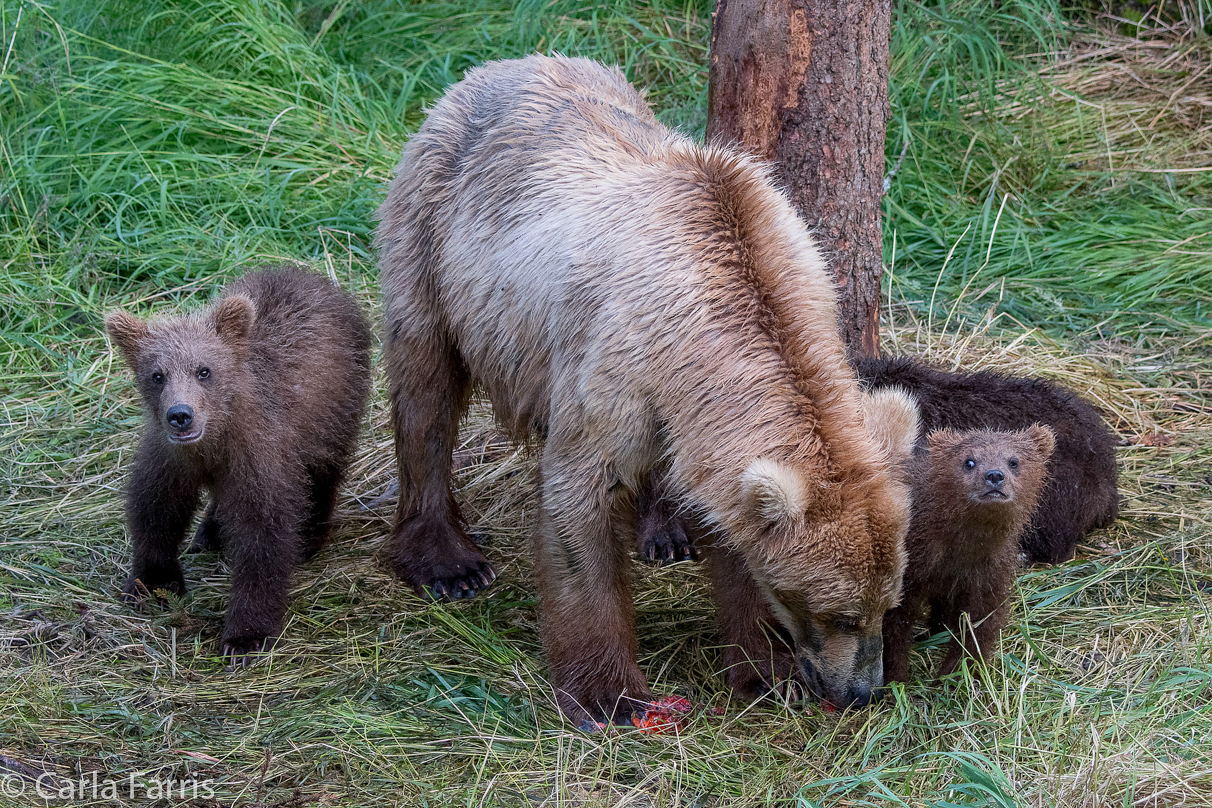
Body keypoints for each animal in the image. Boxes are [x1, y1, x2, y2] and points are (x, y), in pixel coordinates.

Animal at [373, 58, 911, 726]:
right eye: (840, 614)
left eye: (889, 604)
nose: (862, 690)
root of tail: (500, 66)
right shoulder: (614, 363)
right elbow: (581, 504)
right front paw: (611, 695)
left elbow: (728, 522)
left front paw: (766, 668)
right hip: (434, 241)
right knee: (425, 387)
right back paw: (449, 562)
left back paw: (667, 531)